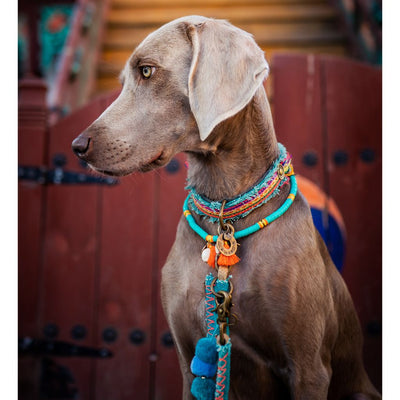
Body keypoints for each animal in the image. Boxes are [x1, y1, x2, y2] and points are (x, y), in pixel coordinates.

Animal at [72, 14, 382, 396]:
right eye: (124, 81)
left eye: (146, 71)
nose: (77, 146)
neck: (224, 213)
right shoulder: (189, 361)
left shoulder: (309, 367)